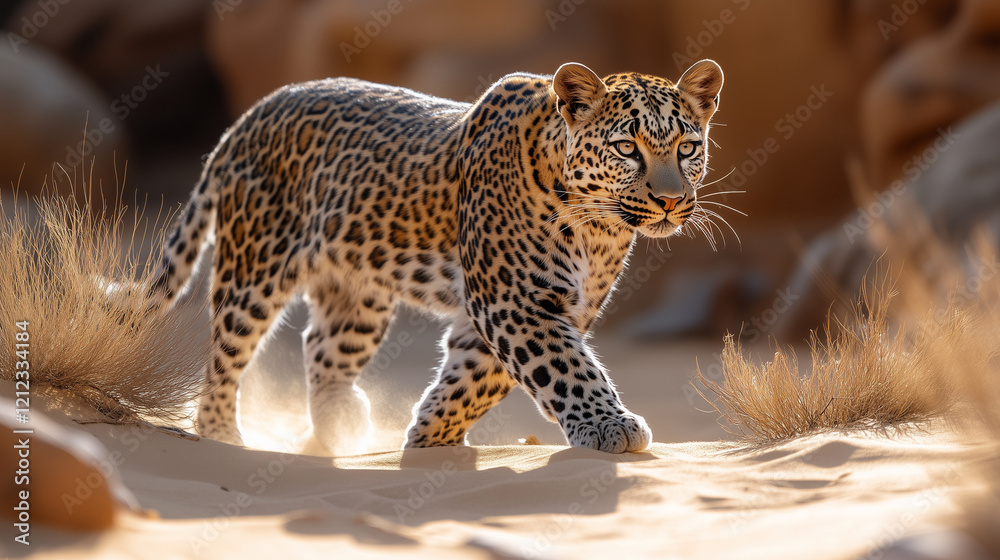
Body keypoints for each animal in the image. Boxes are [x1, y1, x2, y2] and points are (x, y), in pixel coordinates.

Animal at [149, 59, 725, 455]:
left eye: (687, 148)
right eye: (627, 148)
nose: (670, 200)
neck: (597, 226)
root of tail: (243, 121)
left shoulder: (536, 308)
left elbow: (475, 380)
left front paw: (428, 440)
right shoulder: (513, 301)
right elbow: (564, 367)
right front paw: (609, 426)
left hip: (358, 295)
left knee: (322, 347)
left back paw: (340, 429)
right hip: (255, 269)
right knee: (224, 354)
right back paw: (223, 436)